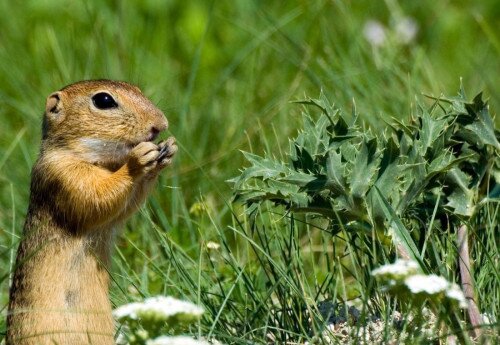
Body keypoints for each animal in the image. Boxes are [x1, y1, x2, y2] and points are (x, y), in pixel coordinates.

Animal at [6, 79, 178, 342]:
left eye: (137, 89)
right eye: (103, 100)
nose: (161, 124)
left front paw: (168, 148)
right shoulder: (64, 175)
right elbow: (96, 195)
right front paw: (138, 159)